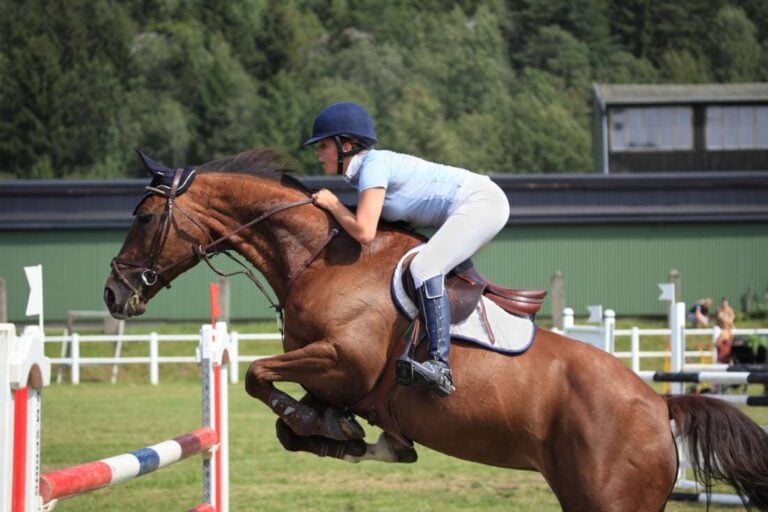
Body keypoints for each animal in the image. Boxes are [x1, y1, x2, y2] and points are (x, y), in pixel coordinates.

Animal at [104, 148, 768, 511]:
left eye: (144, 217)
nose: (112, 292)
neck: (319, 257)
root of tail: (660, 404)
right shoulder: (335, 375)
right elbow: (296, 420)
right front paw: (345, 436)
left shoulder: (344, 359)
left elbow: (256, 374)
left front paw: (326, 426)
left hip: (608, 499)